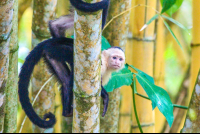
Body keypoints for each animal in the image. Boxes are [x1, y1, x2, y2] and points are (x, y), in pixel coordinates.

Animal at [18, 0, 111, 129]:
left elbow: (55, 26)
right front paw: (104, 94)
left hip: (51, 54)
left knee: (65, 78)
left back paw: (67, 111)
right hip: (60, 51)